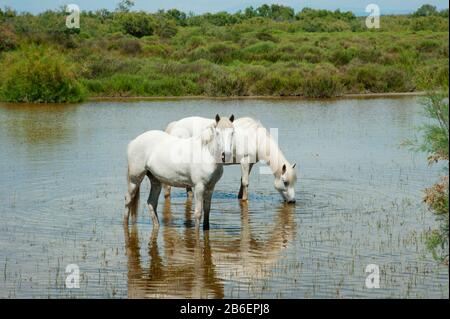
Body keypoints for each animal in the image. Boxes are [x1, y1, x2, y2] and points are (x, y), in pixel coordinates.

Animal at [163, 116, 298, 204]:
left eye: (294, 182)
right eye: (285, 182)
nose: (292, 201)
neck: (256, 138)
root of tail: (174, 125)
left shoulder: (250, 163)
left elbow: (242, 181)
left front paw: (239, 197)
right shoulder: (244, 161)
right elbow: (245, 182)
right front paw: (244, 199)